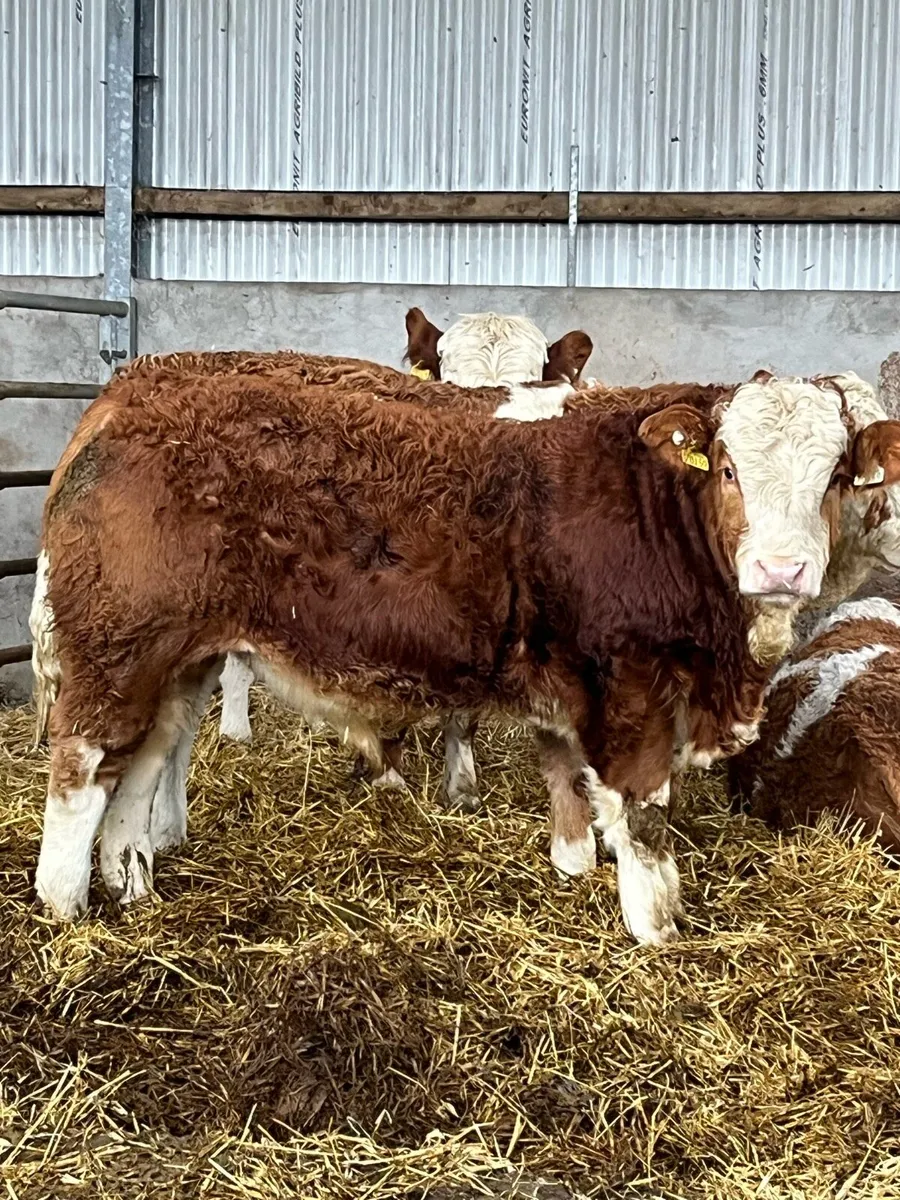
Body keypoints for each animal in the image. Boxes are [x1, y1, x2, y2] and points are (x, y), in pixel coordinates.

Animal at [33, 371, 900, 945]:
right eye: (727, 469)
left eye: (836, 477)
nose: (782, 570)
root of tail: (128, 394)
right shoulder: (629, 684)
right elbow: (645, 820)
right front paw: (658, 932)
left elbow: (572, 792)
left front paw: (574, 867)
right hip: (115, 651)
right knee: (82, 770)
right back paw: (67, 911)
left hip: (176, 663)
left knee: (143, 764)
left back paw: (133, 885)